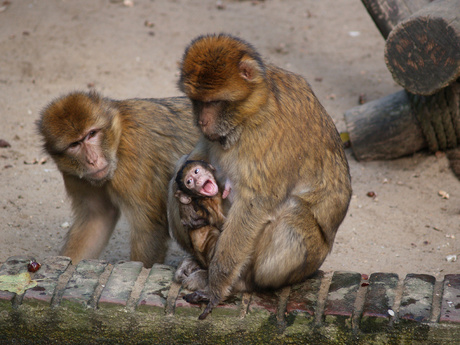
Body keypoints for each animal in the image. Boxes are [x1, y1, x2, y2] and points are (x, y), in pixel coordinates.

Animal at [38, 90, 199, 266]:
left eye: (91, 134)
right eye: (75, 144)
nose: (93, 160)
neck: (118, 137)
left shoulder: (134, 160)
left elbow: (149, 229)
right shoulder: (75, 176)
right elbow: (97, 218)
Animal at [169, 33, 352, 318]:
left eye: (214, 102)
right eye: (197, 101)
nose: (201, 122)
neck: (252, 109)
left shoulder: (273, 135)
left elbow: (254, 204)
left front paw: (216, 287)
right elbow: (194, 158)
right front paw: (186, 196)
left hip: (304, 262)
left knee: (293, 212)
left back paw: (238, 282)